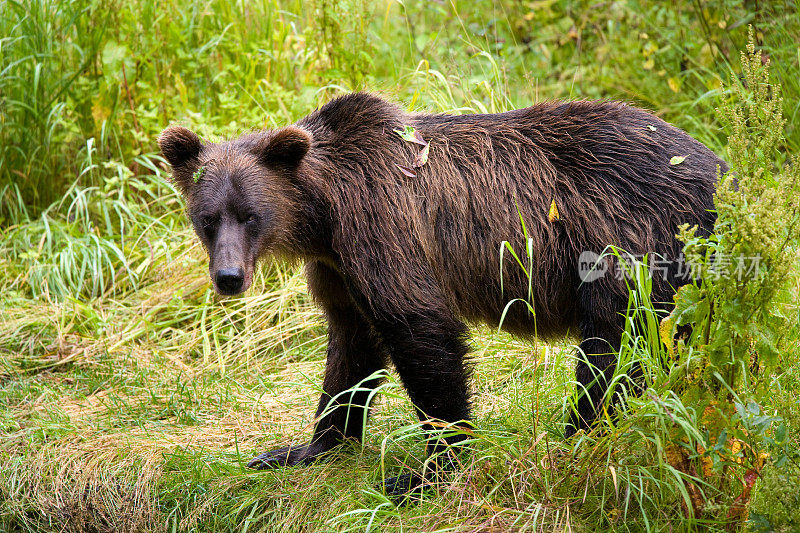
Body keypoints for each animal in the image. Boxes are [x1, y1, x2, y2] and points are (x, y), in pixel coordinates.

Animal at [158, 91, 724, 494]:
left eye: (250, 216)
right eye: (208, 219)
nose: (228, 277)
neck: (322, 213)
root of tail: (723, 169)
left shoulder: (382, 226)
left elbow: (421, 331)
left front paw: (427, 471)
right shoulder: (339, 268)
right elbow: (351, 348)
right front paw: (304, 448)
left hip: (629, 239)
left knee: (616, 347)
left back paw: (578, 437)